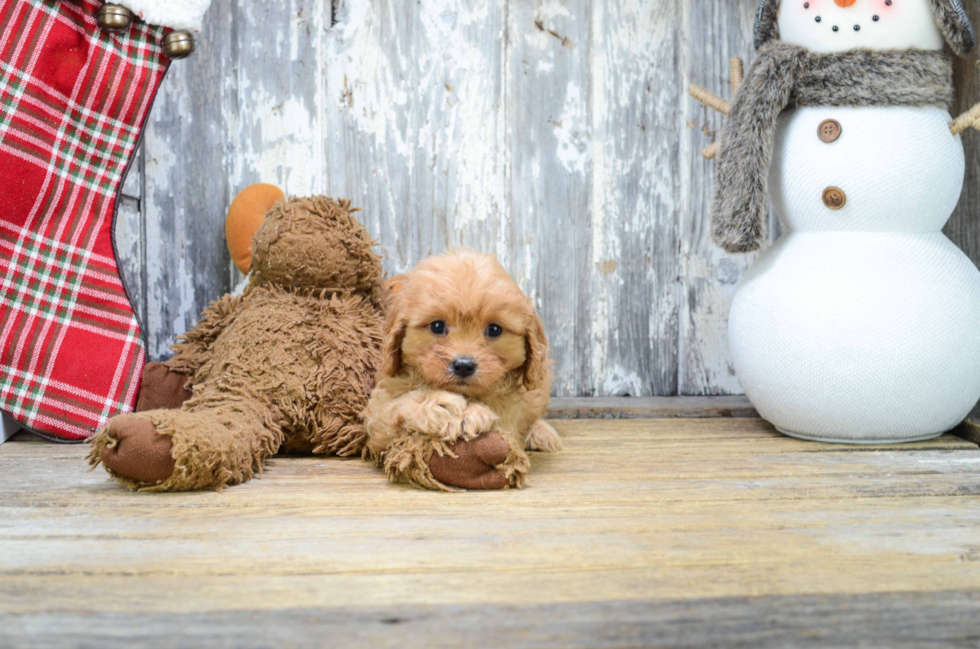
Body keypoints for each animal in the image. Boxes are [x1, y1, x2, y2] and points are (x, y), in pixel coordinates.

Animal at [364, 251, 564, 488]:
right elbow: (395, 407)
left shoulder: (512, 406)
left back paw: (540, 432)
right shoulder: (377, 419)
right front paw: (439, 405)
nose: (463, 365)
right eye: (437, 326)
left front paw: (468, 413)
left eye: (494, 329)